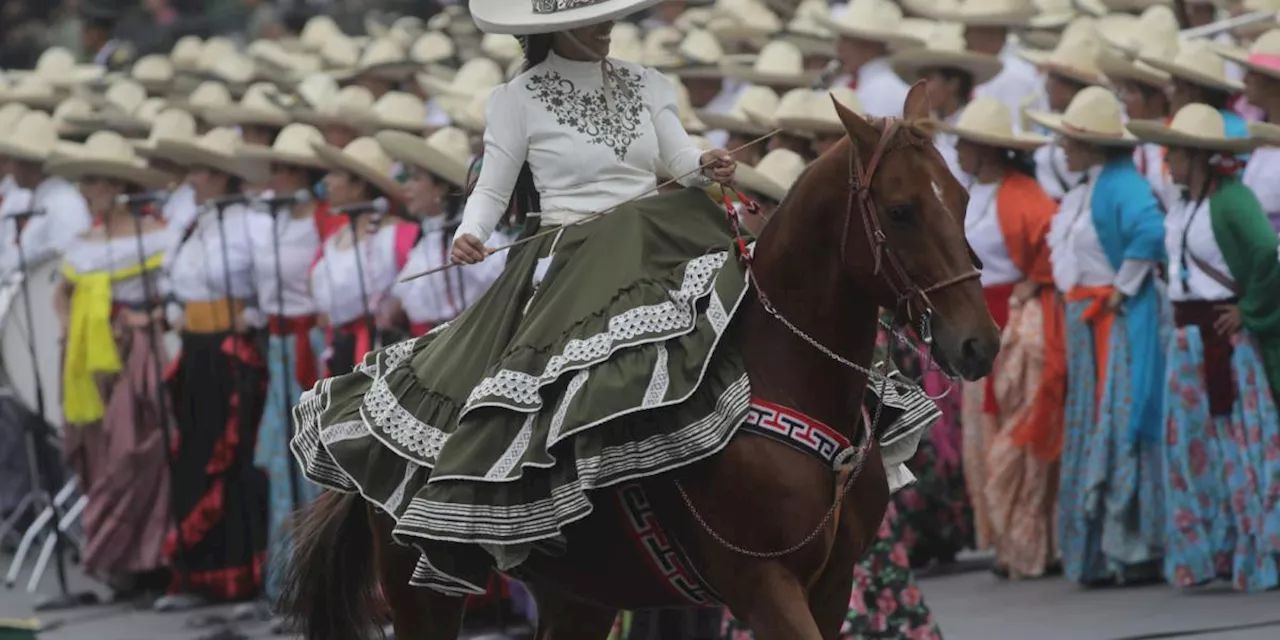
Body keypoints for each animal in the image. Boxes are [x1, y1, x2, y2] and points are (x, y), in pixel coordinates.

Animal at [282, 82, 998, 637]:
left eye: (963, 198)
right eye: (901, 211)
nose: (979, 342)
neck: (785, 378)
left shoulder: (833, 582)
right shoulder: (762, 584)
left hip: (580, 595)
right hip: (422, 592)